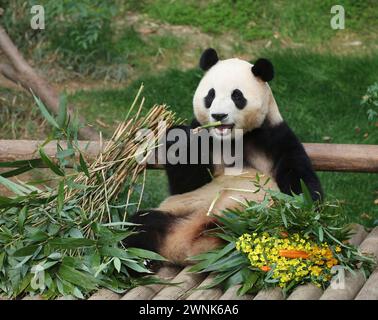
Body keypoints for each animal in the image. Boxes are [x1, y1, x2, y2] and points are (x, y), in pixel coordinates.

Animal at [125, 48, 324, 266]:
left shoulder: (274, 137)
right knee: (138, 226)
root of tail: (187, 247)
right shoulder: (205, 139)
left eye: (237, 96)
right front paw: (180, 138)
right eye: (210, 95)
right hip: (174, 214)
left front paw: (301, 215)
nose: (218, 116)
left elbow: (299, 181)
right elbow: (186, 183)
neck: (231, 139)